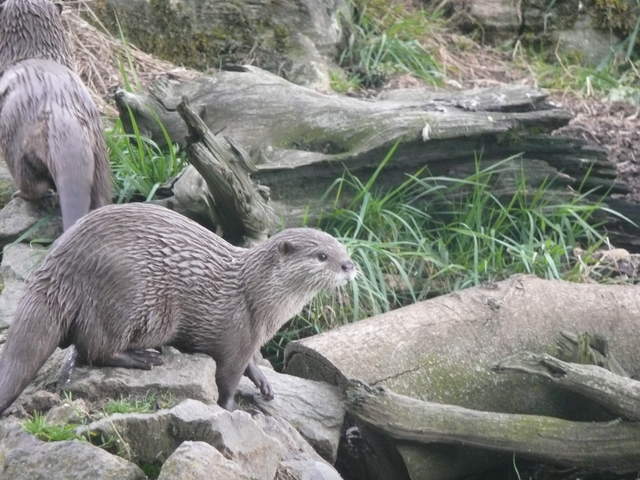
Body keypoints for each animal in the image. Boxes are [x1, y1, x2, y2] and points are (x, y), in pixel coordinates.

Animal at [0, 203, 357, 412]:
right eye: (322, 256)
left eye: (342, 248)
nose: (349, 265)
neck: (256, 297)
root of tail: (57, 263)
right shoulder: (236, 334)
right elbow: (227, 378)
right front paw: (229, 407)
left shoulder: (250, 340)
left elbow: (250, 364)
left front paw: (263, 382)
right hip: (123, 295)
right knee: (93, 348)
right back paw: (142, 357)